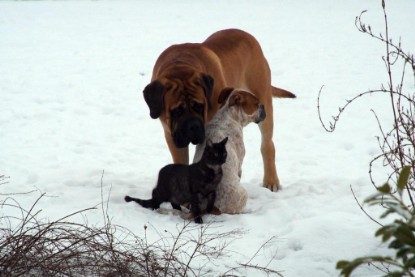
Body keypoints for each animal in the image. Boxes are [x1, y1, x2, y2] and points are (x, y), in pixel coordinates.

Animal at [144, 28, 296, 192]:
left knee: (267, 145)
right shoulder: (172, 137)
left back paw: (271, 180)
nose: (193, 126)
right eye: (177, 111)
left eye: (200, 106)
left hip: (263, 100)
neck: (180, 65)